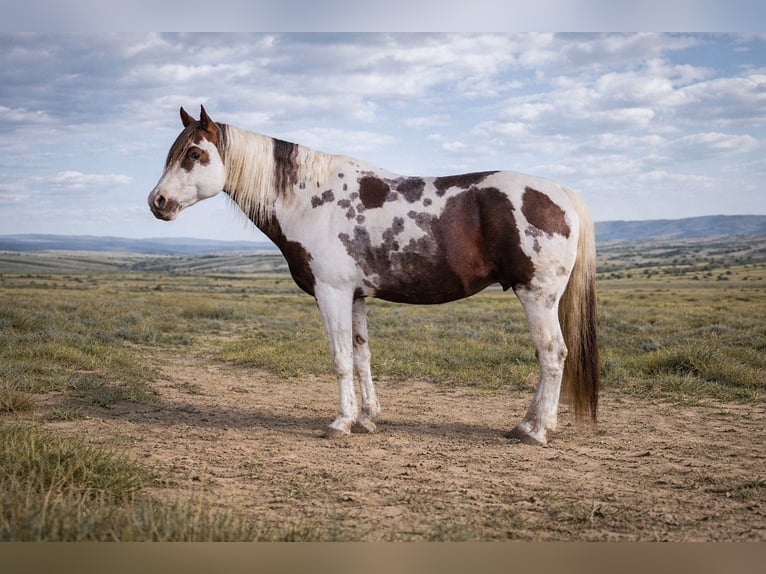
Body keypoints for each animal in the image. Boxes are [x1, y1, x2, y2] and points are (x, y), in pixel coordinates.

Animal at [148, 106, 599, 445]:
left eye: (193, 154)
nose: (158, 202)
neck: (311, 199)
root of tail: (562, 194)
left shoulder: (331, 293)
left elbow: (340, 358)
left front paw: (340, 422)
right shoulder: (356, 296)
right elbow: (362, 355)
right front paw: (367, 418)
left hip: (537, 295)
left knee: (553, 354)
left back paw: (534, 430)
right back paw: (533, 423)